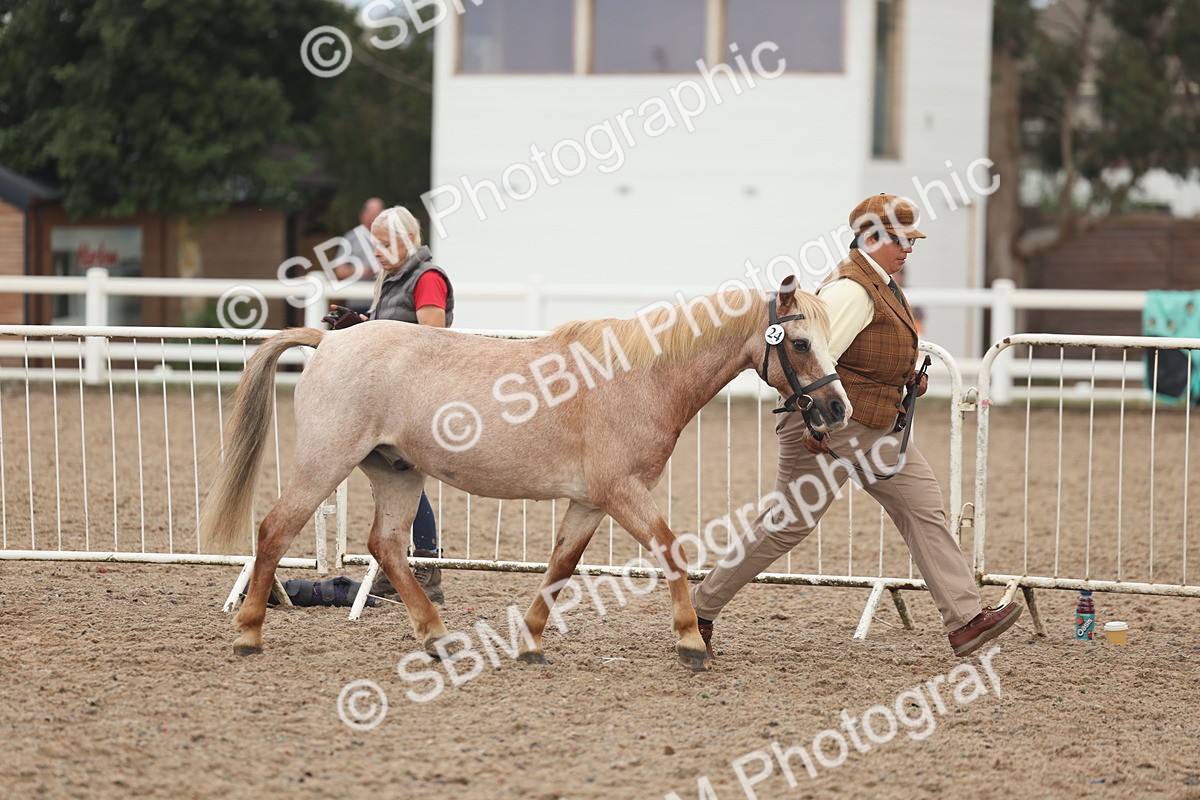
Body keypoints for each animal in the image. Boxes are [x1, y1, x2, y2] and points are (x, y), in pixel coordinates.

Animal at [199, 276, 851, 670]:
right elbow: (670, 549)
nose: (837, 408)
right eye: (798, 343)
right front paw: (691, 641)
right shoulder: (622, 492)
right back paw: (249, 634)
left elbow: (561, 566)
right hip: (324, 464)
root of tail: (330, 341)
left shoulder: (590, 502)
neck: (638, 376)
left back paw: (436, 636)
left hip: (397, 473)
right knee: (273, 530)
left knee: (385, 545)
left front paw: (532, 642)